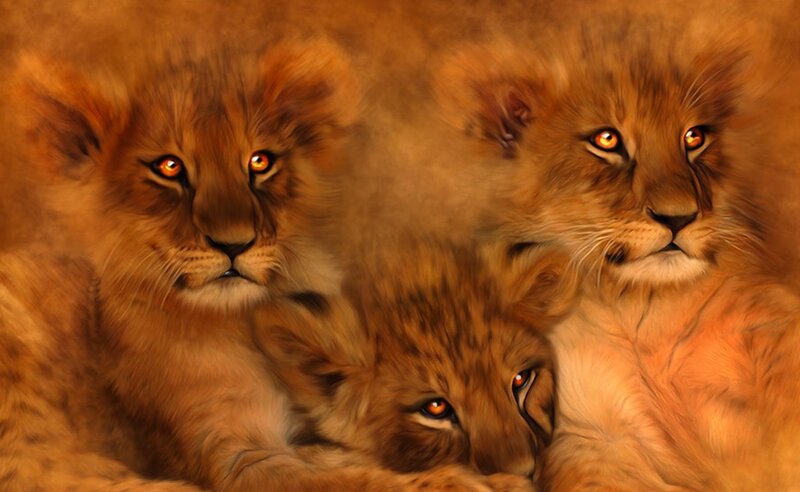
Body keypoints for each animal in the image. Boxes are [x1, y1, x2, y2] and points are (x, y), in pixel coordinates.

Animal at [436, 20, 800, 491]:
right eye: (606, 140)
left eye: (694, 137)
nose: (679, 217)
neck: (643, 312)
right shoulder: (589, 438)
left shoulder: (773, 328)